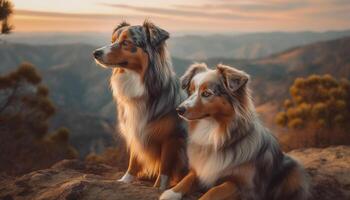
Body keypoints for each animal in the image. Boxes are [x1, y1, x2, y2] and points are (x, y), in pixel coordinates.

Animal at [91, 21, 187, 190]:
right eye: (112, 40)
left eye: (126, 42)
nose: (96, 53)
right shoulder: (135, 129)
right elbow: (133, 161)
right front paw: (125, 180)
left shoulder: (172, 137)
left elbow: (164, 168)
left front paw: (159, 188)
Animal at [160, 63, 308, 200]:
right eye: (191, 92)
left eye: (206, 93)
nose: (179, 109)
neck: (214, 133)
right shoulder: (202, 172)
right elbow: (187, 179)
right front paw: (170, 193)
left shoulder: (244, 187)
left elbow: (213, 191)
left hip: (292, 171)